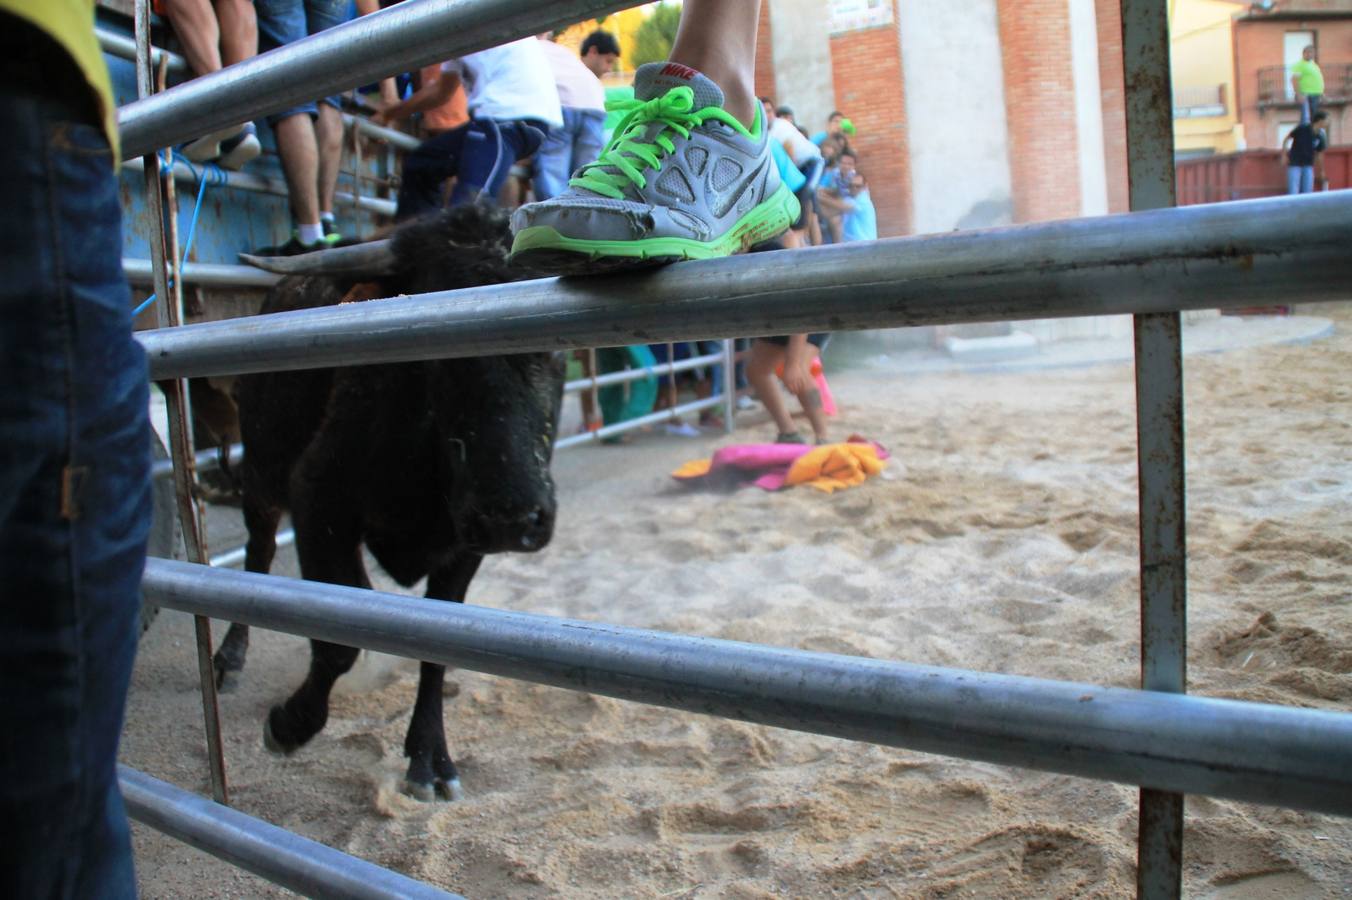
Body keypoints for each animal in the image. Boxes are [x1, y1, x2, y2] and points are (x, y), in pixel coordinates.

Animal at [213, 205, 562, 800]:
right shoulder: (317, 502)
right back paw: (229, 659)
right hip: (259, 474)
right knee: (258, 556)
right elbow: (337, 643)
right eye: (436, 352)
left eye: (559, 344)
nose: (511, 517)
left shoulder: (463, 550)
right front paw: (288, 724)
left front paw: (428, 758)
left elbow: (435, 648)